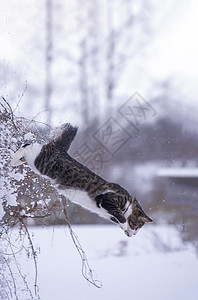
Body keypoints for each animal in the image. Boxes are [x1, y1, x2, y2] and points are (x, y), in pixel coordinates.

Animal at [10, 123, 153, 236]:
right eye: (137, 226)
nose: (133, 235)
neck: (128, 204)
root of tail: (61, 150)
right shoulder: (107, 199)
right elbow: (121, 217)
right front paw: (124, 224)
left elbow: (117, 218)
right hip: (40, 163)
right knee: (29, 145)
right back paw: (13, 158)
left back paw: (16, 160)